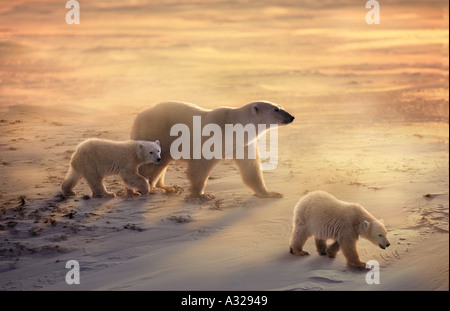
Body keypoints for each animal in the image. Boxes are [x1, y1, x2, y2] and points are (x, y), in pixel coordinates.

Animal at [129, 102, 296, 200]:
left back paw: (166, 187)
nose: (291, 117)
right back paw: (150, 188)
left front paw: (270, 193)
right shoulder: (213, 136)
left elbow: (251, 167)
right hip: (156, 132)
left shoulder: (242, 143)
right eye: (276, 109)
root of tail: (139, 115)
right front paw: (202, 194)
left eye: (280, 106)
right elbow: (200, 164)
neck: (233, 126)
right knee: (152, 163)